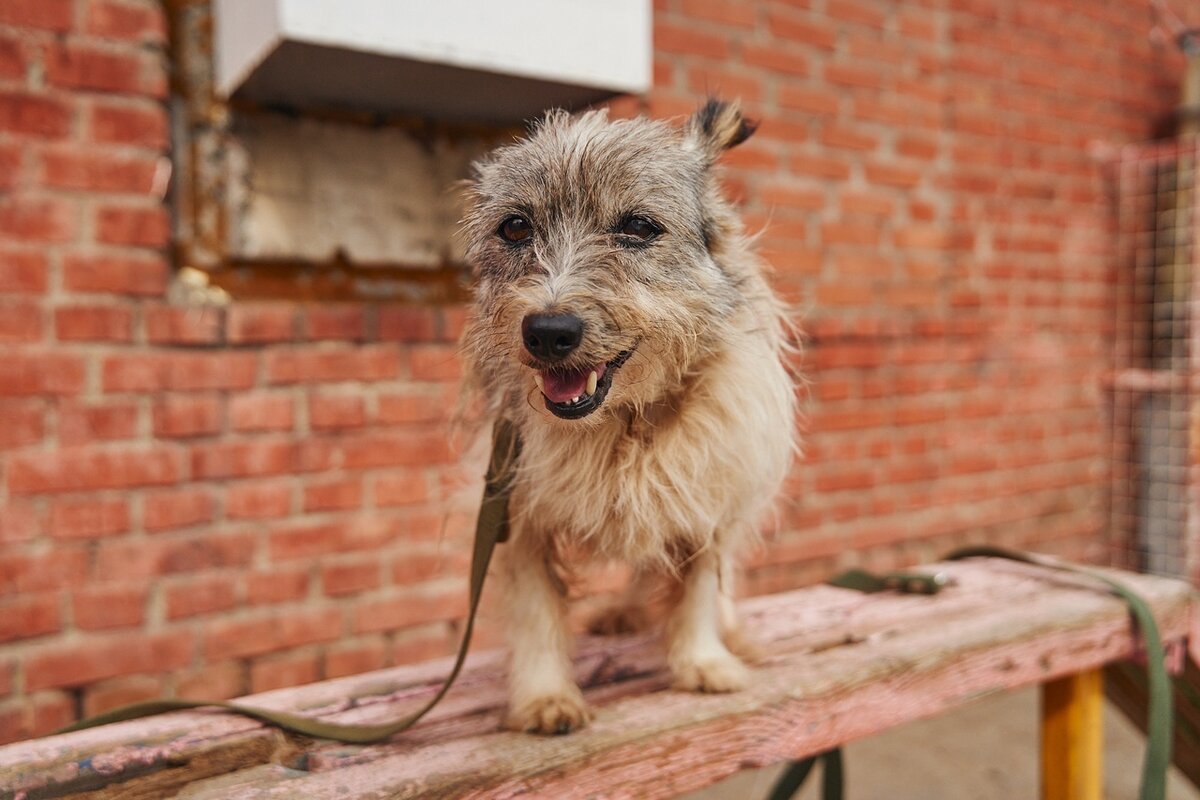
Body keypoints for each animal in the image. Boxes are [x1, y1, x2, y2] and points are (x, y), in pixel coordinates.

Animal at [458, 101, 796, 738]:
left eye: (638, 227)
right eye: (515, 228)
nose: (548, 331)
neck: (620, 425)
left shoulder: (707, 493)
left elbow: (698, 586)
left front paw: (703, 661)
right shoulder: (517, 507)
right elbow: (536, 609)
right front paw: (544, 696)